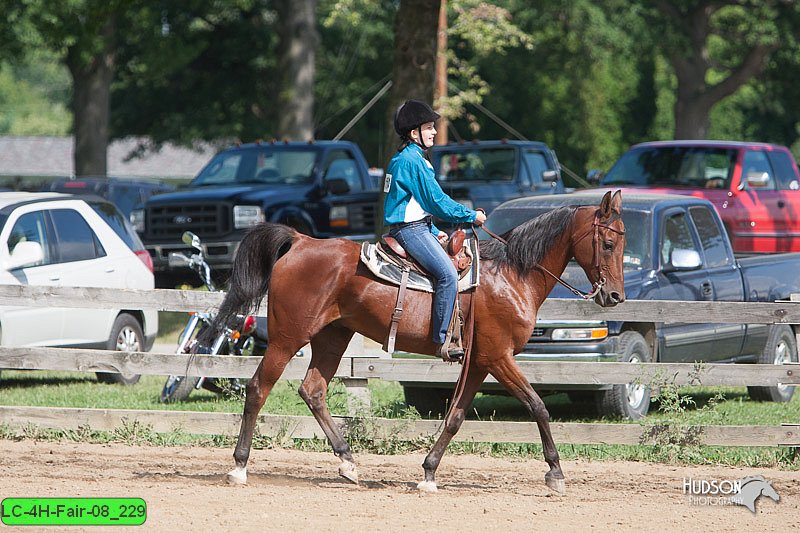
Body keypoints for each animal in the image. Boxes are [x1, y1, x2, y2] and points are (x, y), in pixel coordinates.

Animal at [208, 189, 624, 492]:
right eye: (607, 244)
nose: (615, 296)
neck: (511, 276)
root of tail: (301, 240)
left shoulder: (478, 361)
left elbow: (455, 417)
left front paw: (429, 472)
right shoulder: (498, 357)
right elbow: (538, 406)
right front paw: (556, 473)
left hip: (332, 337)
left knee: (313, 391)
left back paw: (348, 462)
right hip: (287, 337)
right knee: (258, 388)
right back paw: (239, 467)